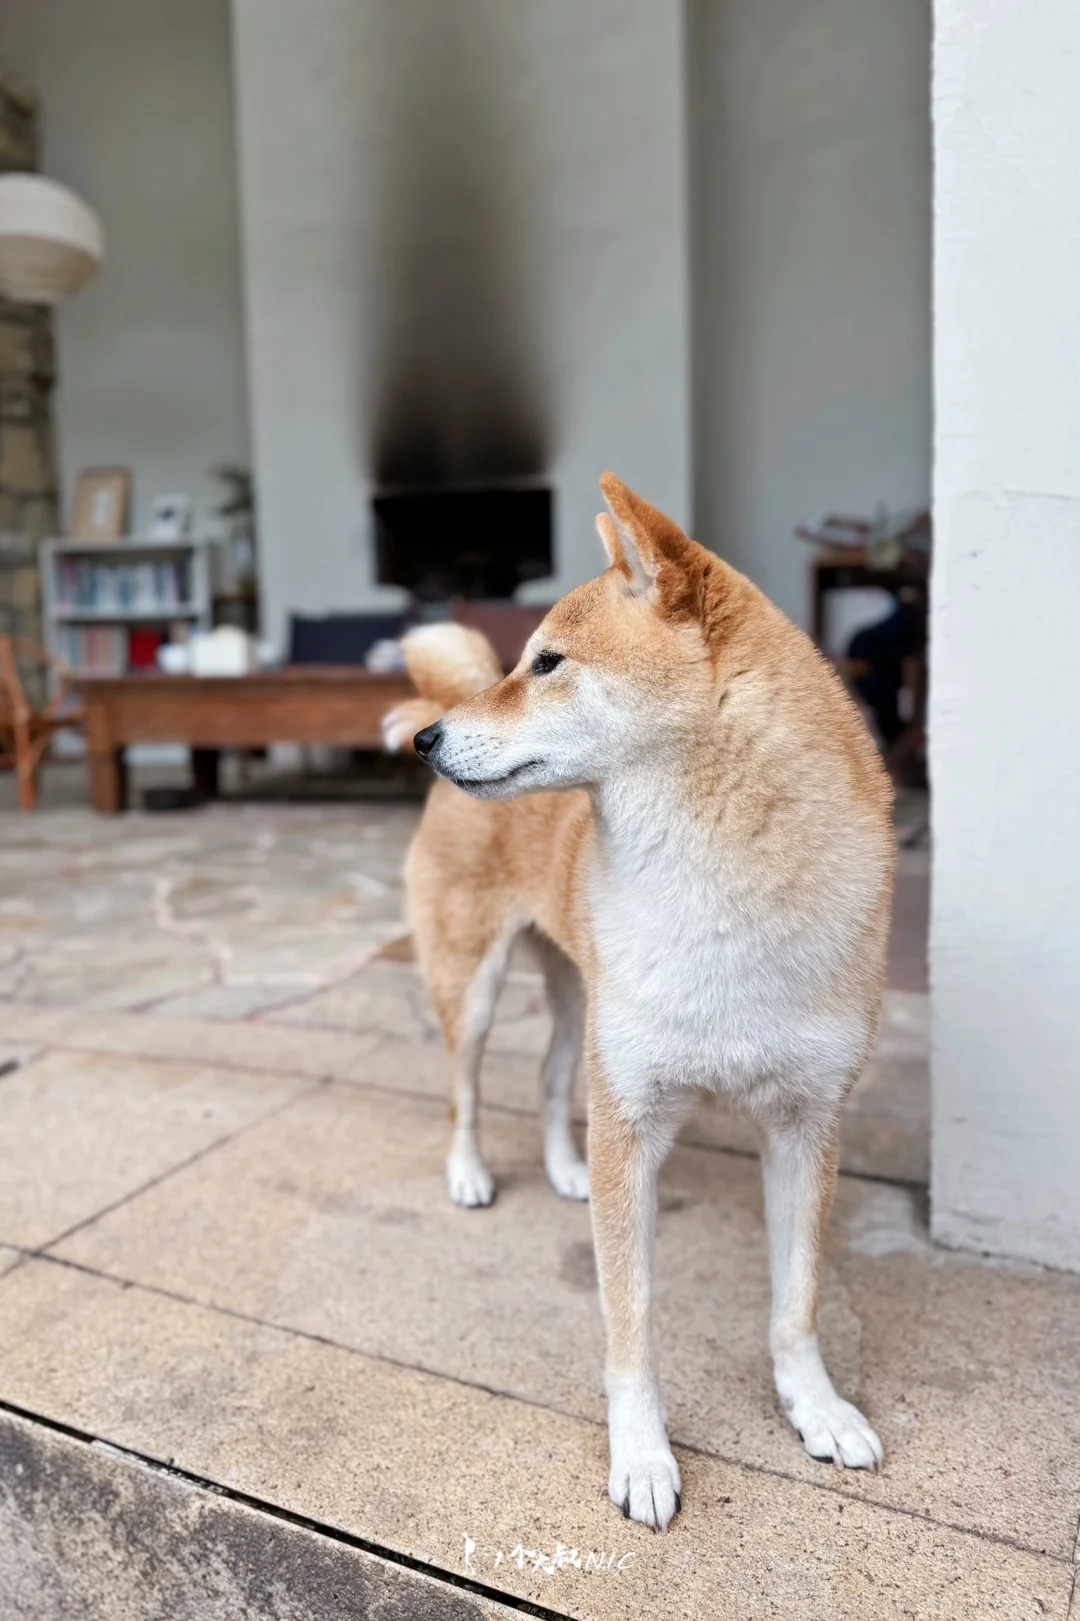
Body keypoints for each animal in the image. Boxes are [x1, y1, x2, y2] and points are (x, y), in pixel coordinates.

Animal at [382, 473, 888, 1530]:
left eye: (548, 663)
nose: (426, 742)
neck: (720, 888)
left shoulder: (806, 1121)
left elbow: (797, 1302)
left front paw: (815, 1407)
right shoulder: (636, 1118)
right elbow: (632, 1315)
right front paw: (644, 1455)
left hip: (583, 1005)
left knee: (547, 1079)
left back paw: (564, 1168)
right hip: (477, 989)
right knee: (464, 1087)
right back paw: (469, 1173)